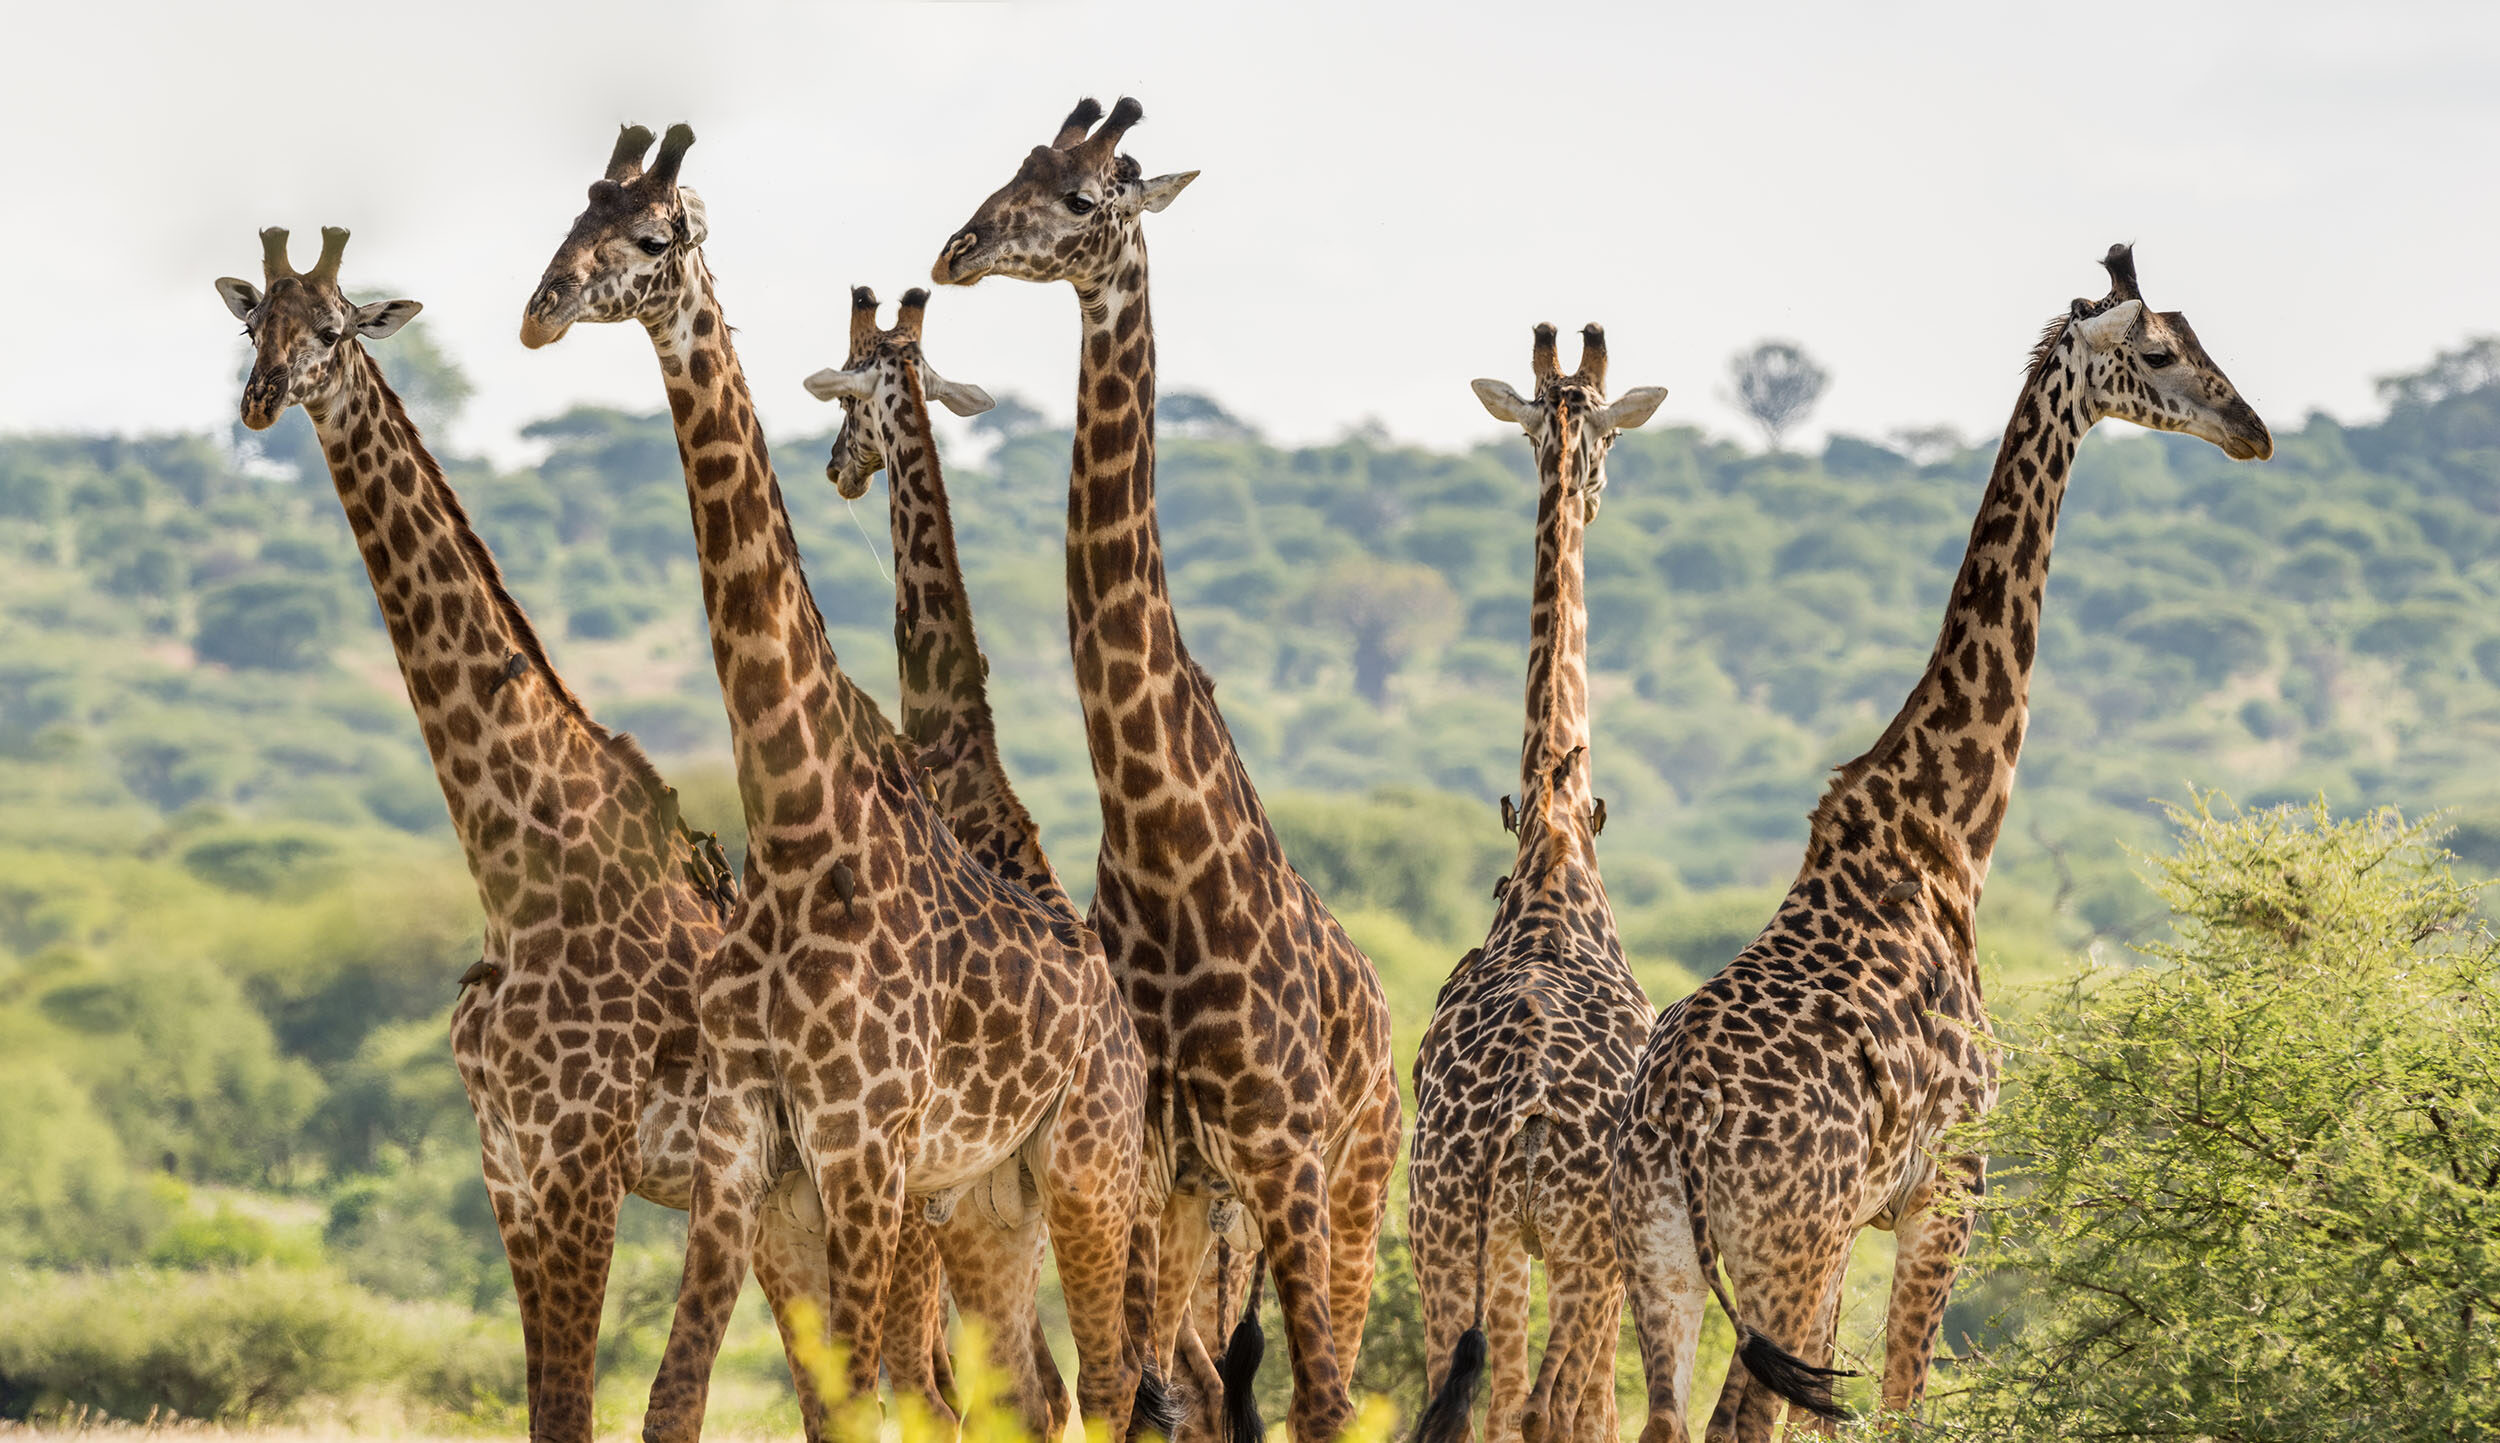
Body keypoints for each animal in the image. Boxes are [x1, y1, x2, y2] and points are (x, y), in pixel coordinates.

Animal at [216, 220, 840, 1440]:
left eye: (335, 328)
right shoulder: (506, 1165)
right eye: (250, 321)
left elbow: (600, 1408)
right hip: (797, 1214)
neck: (520, 874)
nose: (262, 399)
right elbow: (551, 1406)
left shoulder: (580, 1159)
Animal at [522, 121, 1165, 1440]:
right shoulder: (741, 1150)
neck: (795, 823)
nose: (539, 311)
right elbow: (683, 1403)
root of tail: (1119, 1019)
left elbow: (871, 1397)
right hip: (994, 1197)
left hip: (1086, 1167)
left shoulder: (864, 1150)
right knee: (1042, 1388)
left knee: (1111, 1381)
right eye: (572, 218)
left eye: (651, 236)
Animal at [940, 98, 1410, 1440]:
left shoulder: (1283, 1155)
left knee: (1323, 1385)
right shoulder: (1149, 1160)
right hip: (1207, 1204)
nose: (957, 248)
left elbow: (1310, 1395)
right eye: (1015, 166)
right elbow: (1144, 1393)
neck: (1157, 837)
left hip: (1351, 1183)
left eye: (1088, 194)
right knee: (1197, 1383)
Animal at [1610, 242, 2280, 1430]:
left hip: (1667, 1260)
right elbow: (1904, 1403)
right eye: (2159, 351)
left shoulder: (1874, 1217)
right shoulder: (1948, 1188)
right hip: (1786, 1246)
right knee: (1745, 1417)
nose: (2252, 428)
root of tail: (1679, 1133)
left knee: (1664, 1419)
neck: (1947, 837)